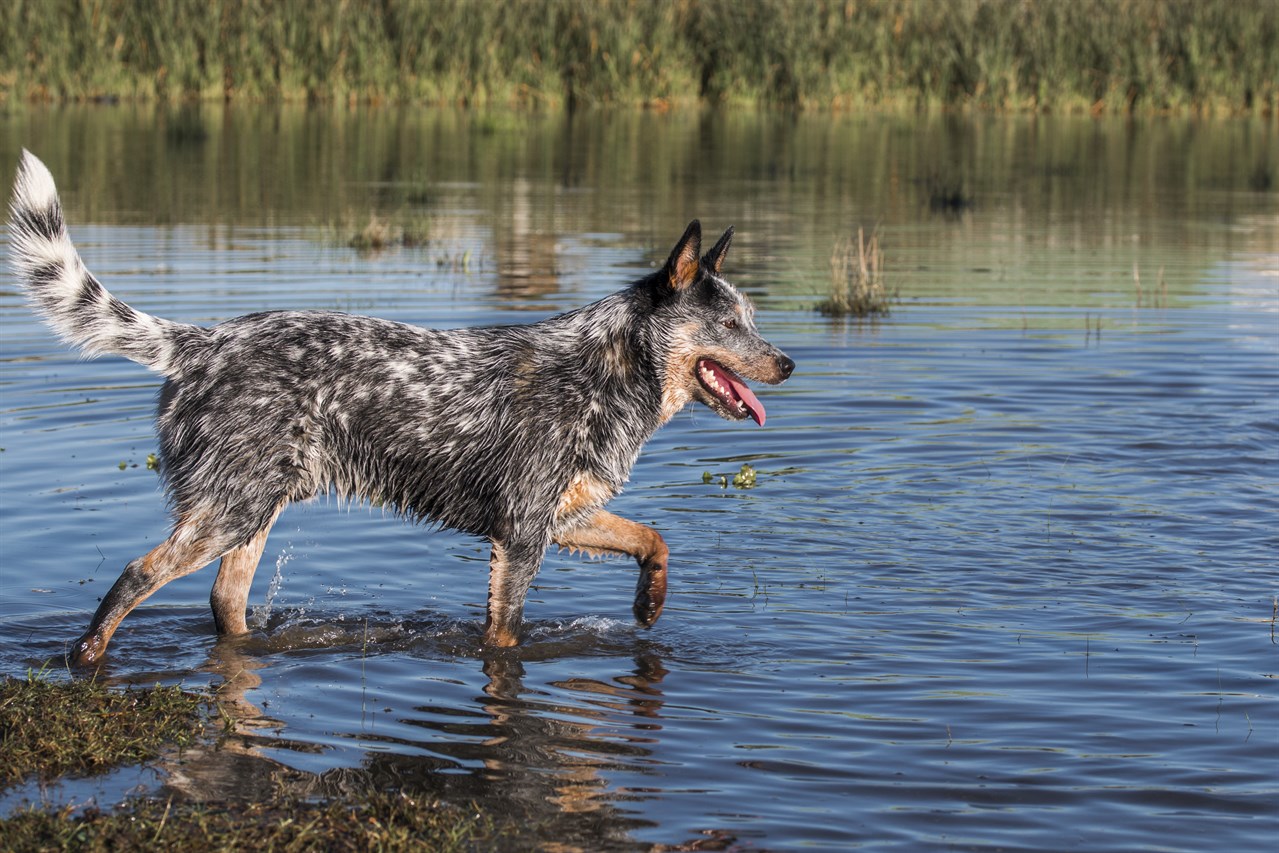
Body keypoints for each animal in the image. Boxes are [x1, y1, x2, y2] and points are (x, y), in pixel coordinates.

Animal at [7, 150, 787, 665]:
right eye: (729, 324)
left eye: (751, 318)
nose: (787, 362)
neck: (608, 368)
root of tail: (201, 342)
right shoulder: (521, 537)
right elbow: (504, 636)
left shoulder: (562, 516)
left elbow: (653, 538)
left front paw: (648, 602)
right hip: (229, 512)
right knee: (134, 577)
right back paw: (84, 658)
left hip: (250, 511)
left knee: (224, 602)